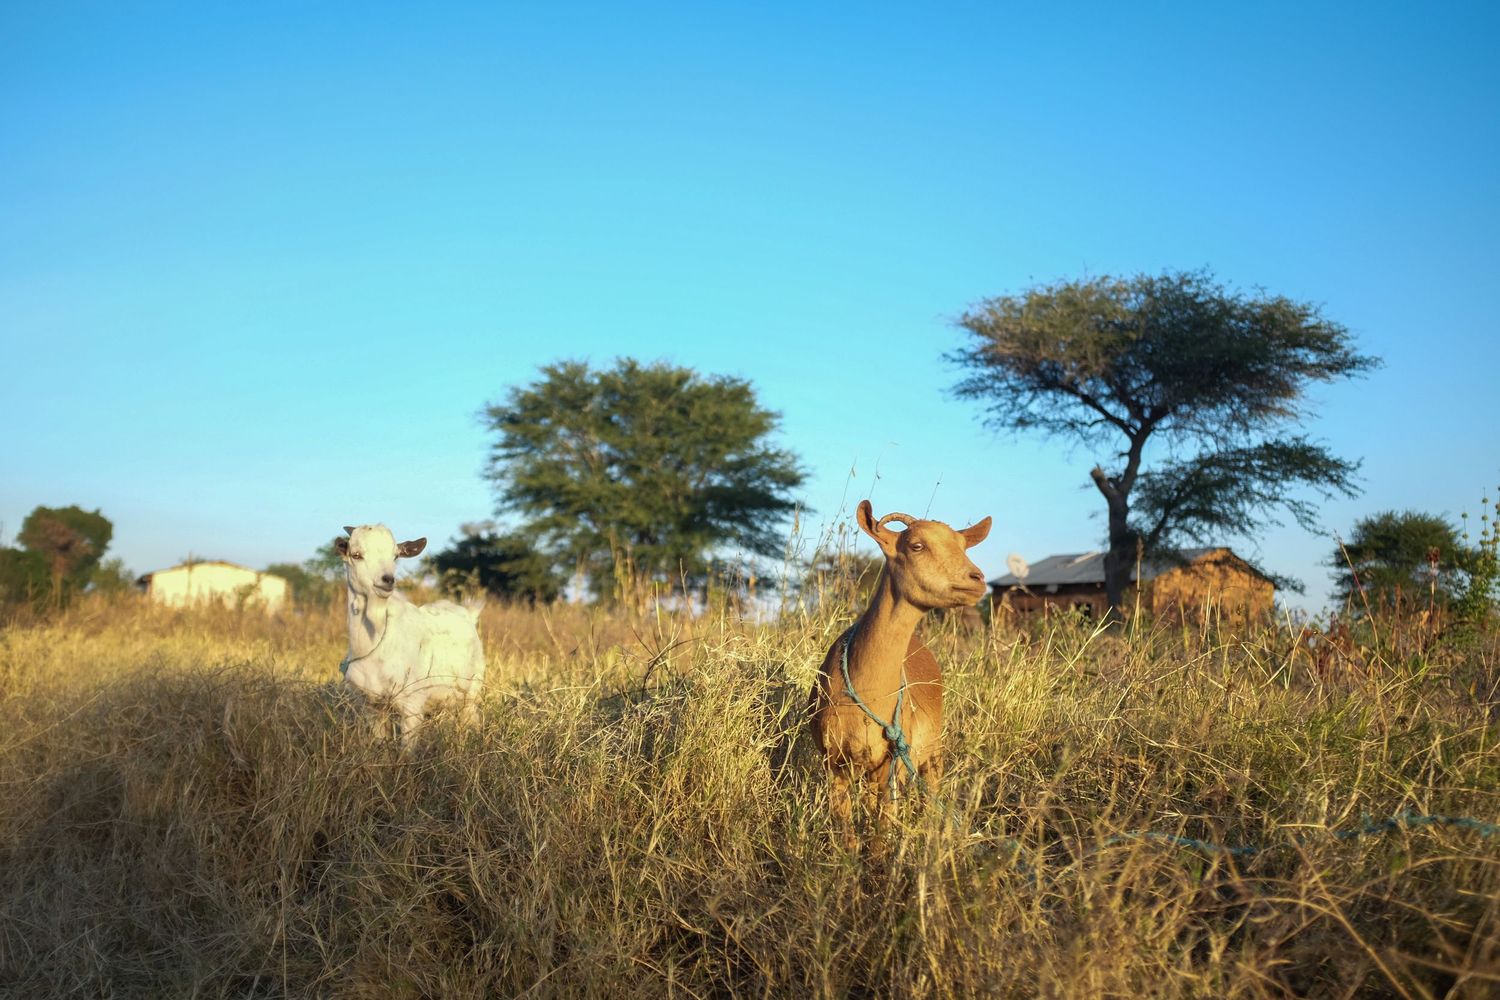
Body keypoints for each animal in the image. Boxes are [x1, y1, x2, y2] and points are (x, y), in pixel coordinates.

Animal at [809, 500, 992, 841]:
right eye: (916, 545)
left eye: (962, 546)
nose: (976, 579)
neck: (867, 691)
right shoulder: (835, 764)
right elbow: (847, 835)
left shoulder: (890, 766)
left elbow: (881, 834)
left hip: (931, 751)